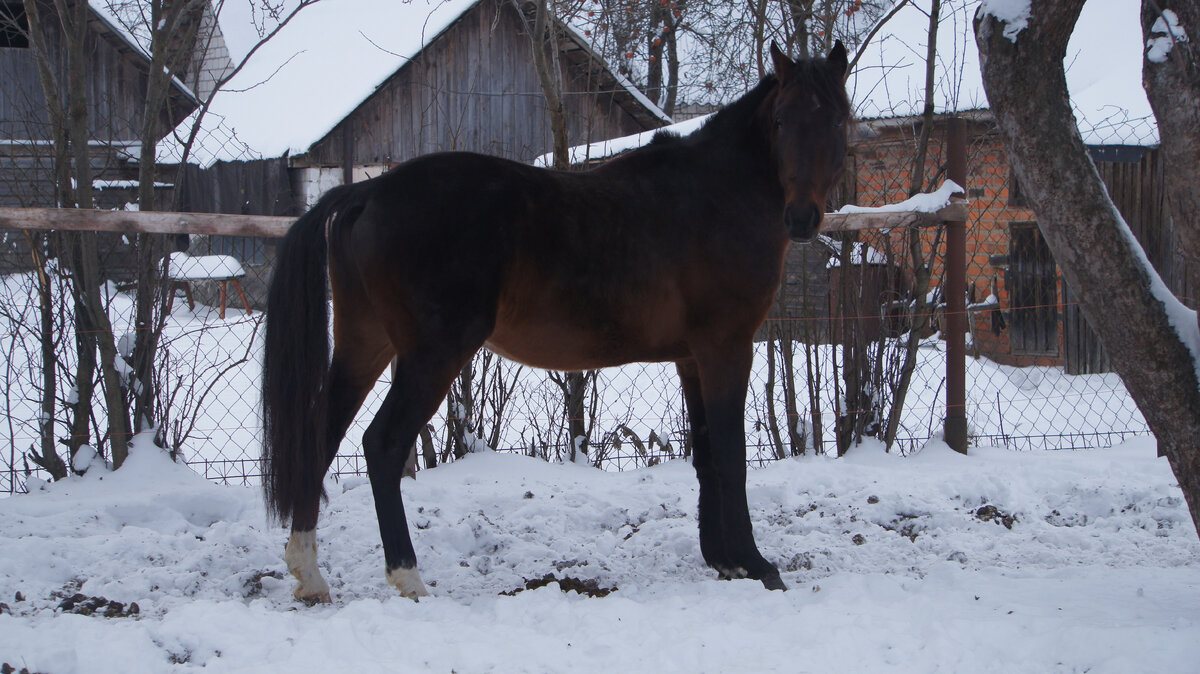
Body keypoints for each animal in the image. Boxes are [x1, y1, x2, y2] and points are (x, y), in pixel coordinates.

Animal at [264, 41, 854, 597]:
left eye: (837, 120)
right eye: (781, 121)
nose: (802, 218)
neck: (714, 195)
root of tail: (367, 190)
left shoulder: (692, 357)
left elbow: (707, 454)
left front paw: (725, 561)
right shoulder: (727, 347)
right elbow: (732, 457)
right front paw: (757, 565)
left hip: (365, 345)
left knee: (321, 435)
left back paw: (309, 575)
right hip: (433, 355)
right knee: (383, 447)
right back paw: (408, 578)